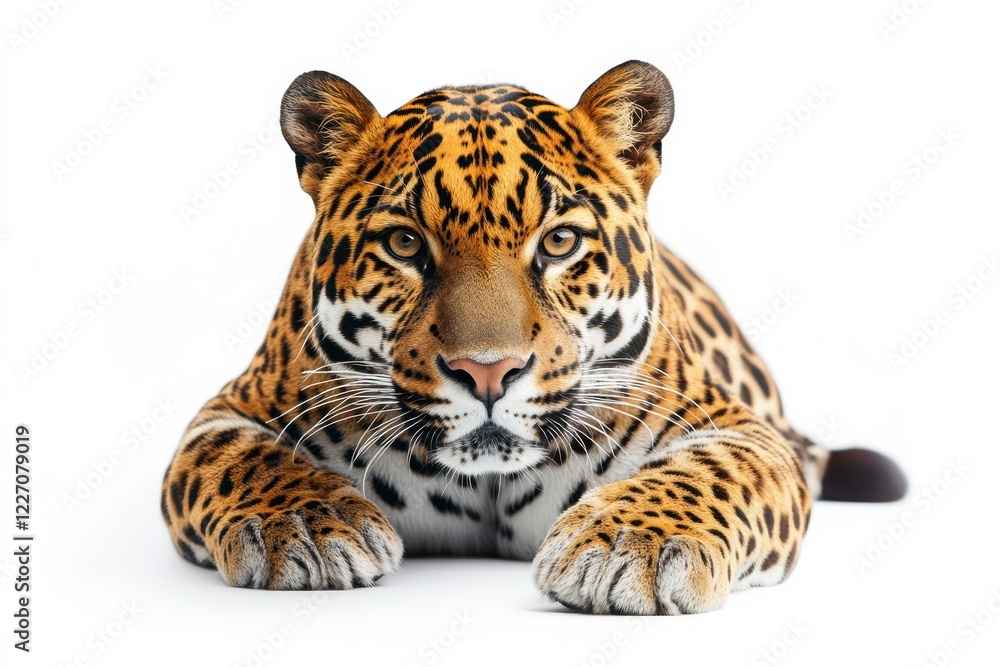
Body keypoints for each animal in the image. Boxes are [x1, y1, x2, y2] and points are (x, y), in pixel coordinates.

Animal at [161, 61, 906, 614]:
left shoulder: (738, 427)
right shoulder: (232, 409)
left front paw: (628, 543)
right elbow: (239, 461)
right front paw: (306, 524)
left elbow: (713, 473)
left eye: (559, 243)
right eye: (405, 244)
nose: (488, 373)